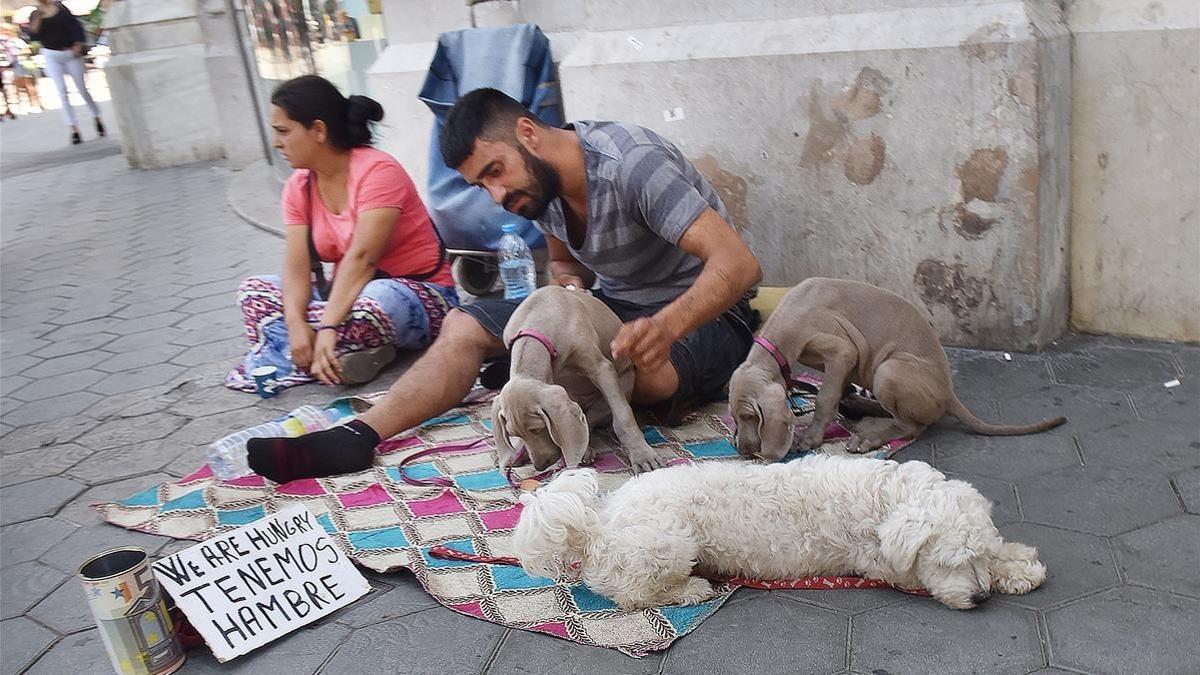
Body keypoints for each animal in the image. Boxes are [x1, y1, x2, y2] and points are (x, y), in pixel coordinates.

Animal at [492, 285, 672, 470]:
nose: (540, 466)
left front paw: (642, 455)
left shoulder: (601, 369)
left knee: (588, 420)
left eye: (538, 429)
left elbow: (623, 416)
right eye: (514, 432)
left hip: (612, 395)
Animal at [511, 454, 1046, 607]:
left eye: (978, 555)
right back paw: (690, 590)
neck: (884, 500)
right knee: (629, 593)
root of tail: (596, 525)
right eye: (951, 562)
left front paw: (1017, 564)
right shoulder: (880, 563)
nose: (979, 597)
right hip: (668, 541)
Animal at [724, 276, 1065, 458]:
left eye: (751, 416)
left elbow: (824, 398)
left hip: (889, 371)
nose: (742, 451)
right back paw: (860, 407)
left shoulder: (842, 350)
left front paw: (810, 438)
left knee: (913, 425)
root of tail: (949, 393)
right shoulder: (846, 360)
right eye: (736, 418)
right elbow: (837, 391)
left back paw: (868, 436)